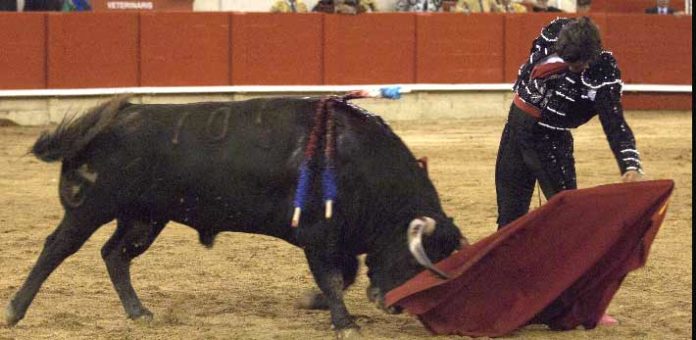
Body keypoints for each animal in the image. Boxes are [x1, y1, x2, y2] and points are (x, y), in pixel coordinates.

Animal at [6, 95, 468, 334]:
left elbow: (345, 275)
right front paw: (344, 321)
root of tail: (121, 113)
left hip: (144, 217)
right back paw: (14, 311)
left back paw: (140, 313)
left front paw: (315, 303)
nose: (395, 307)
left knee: (115, 255)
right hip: (91, 208)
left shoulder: (338, 239)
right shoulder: (318, 235)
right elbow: (335, 278)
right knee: (57, 248)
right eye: (416, 259)